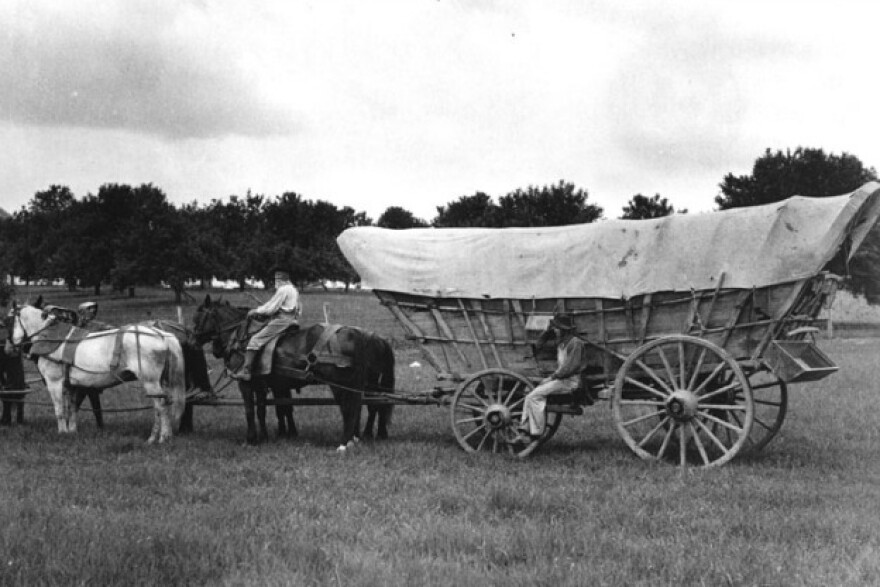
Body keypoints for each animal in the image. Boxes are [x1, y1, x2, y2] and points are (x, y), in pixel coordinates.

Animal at [9, 303, 187, 443]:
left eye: (8, 321)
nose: (10, 347)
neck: (51, 338)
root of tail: (161, 335)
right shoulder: (71, 385)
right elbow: (72, 408)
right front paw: (71, 432)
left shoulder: (54, 383)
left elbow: (60, 410)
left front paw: (62, 433)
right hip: (157, 382)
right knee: (159, 407)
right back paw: (154, 438)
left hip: (150, 382)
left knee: (161, 406)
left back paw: (163, 438)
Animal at [190, 295, 395, 450]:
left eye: (197, 318)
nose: (192, 342)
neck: (243, 338)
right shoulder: (263, 385)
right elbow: (264, 410)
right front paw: (265, 437)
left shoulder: (247, 384)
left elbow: (251, 410)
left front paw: (251, 439)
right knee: (363, 407)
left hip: (341, 385)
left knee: (352, 408)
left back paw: (346, 442)